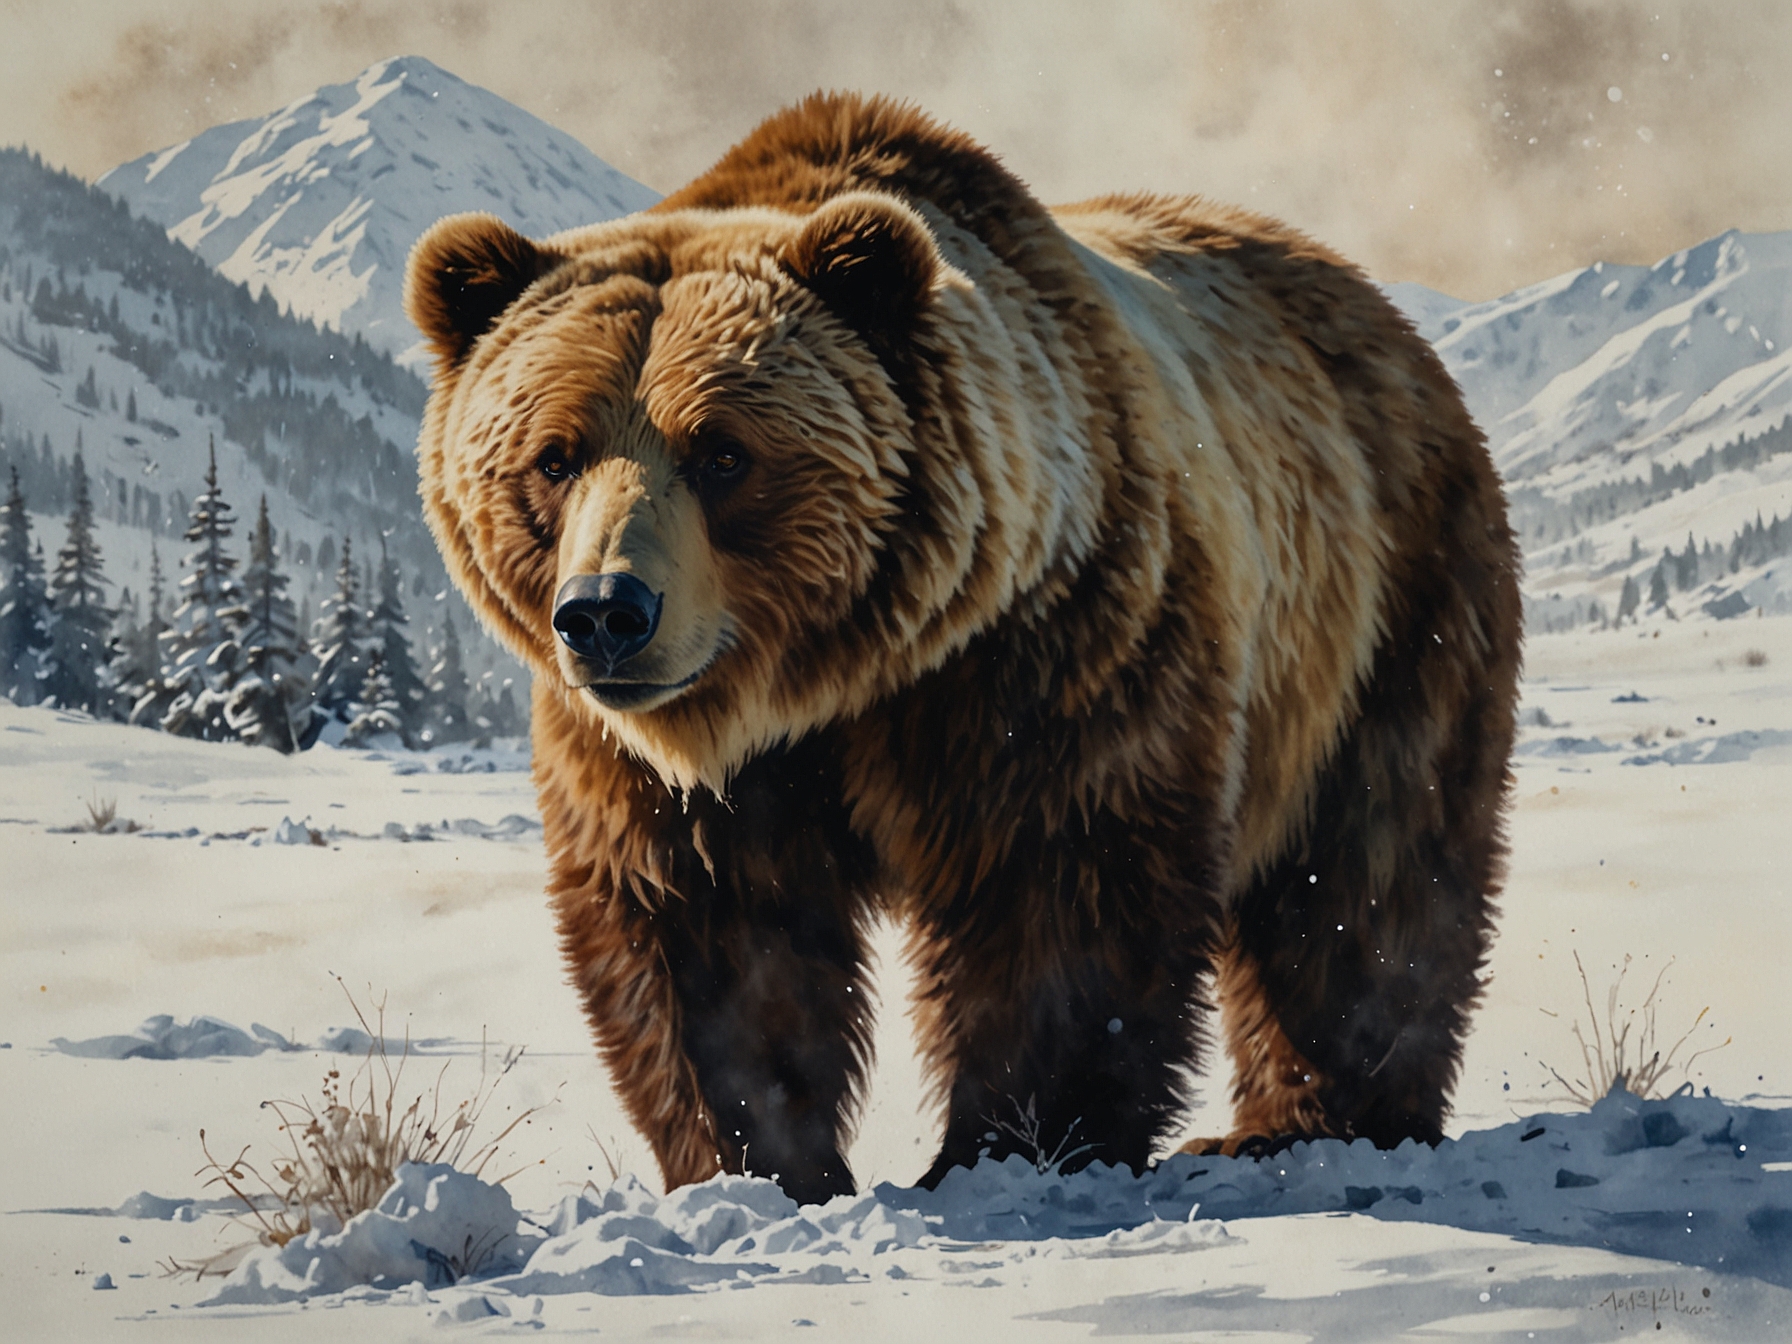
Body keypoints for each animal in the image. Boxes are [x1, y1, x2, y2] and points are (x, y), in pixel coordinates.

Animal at [403, 92, 1521, 1206]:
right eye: (554, 457)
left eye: (721, 452)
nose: (606, 612)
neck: (833, 675)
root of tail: (1374, 306)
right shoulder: (658, 764)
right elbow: (711, 935)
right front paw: (764, 1164)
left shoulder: (1049, 646)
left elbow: (1059, 890)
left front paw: (1009, 1146)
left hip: (1387, 599)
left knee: (1369, 873)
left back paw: (1314, 1121)